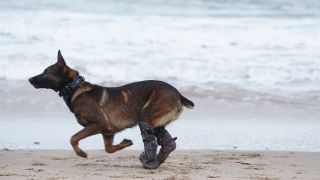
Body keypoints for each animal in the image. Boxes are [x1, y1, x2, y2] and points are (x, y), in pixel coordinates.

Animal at [29, 50, 195, 169]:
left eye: (46, 72)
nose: (29, 79)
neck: (74, 87)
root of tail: (178, 94)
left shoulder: (98, 124)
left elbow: (73, 138)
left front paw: (81, 153)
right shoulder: (108, 131)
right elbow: (108, 149)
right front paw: (125, 144)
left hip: (147, 115)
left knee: (150, 134)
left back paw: (151, 162)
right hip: (156, 120)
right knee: (167, 142)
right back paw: (157, 160)